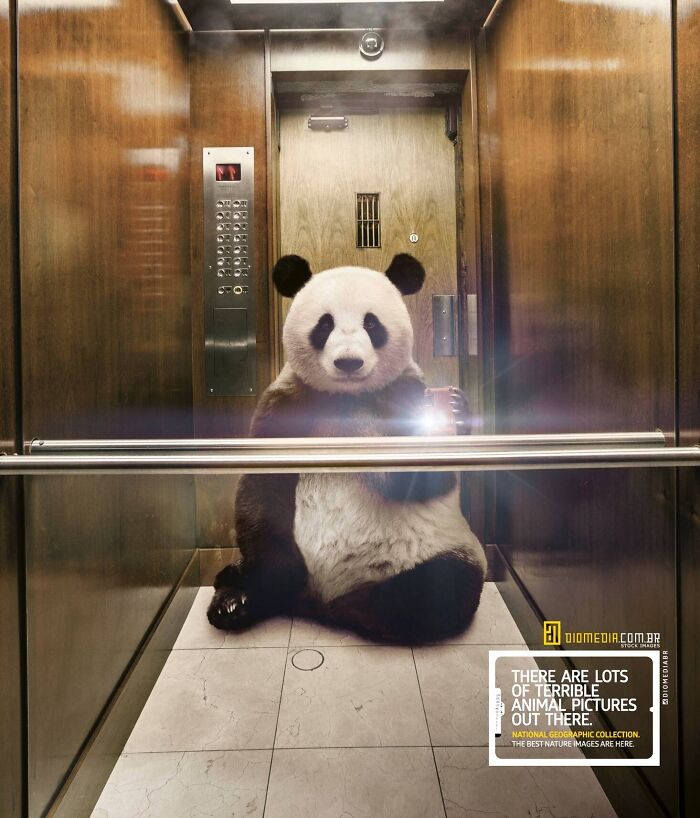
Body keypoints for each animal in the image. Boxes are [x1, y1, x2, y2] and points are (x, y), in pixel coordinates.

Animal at [208, 252, 486, 644]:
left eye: (372, 323)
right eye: (325, 325)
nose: (349, 362)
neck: (346, 400)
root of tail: (319, 596)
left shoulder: (401, 392)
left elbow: (422, 483)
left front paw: (456, 412)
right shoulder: (287, 404)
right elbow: (262, 485)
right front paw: (268, 581)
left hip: (442, 549)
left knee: (440, 591)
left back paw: (360, 609)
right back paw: (236, 600)